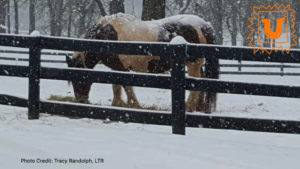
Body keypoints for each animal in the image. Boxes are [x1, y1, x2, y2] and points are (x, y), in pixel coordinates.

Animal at [65, 13, 219, 112]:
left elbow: (126, 86)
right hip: (196, 64)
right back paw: (199, 107)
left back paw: (189, 107)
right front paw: (117, 103)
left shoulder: (122, 68)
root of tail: (204, 25)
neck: (106, 36)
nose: (81, 101)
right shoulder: (116, 67)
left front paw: (134, 104)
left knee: (195, 83)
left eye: (78, 77)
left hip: (193, 64)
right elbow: (116, 86)